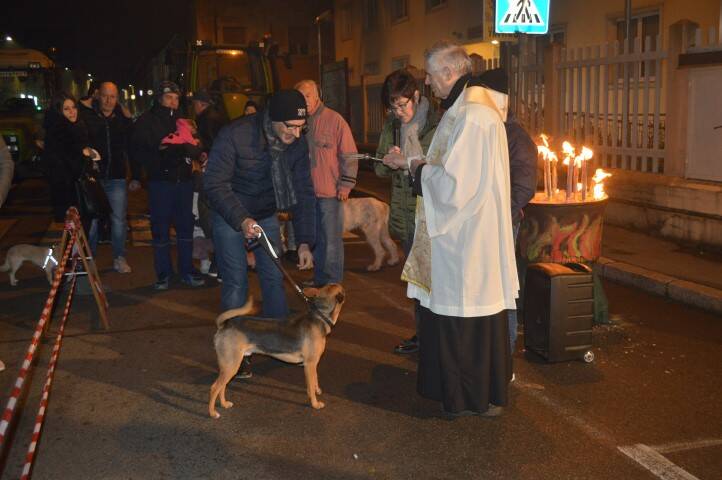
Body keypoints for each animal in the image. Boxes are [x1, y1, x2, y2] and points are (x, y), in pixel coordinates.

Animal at [208, 284, 346, 418]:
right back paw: (212, 413)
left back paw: (224, 404)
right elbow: (310, 386)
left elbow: (315, 379)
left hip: (229, 366)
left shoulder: (314, 363)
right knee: (215, 387)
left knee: (222, 386)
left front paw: (317, 391)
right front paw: (315, 404)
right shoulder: (309, 364)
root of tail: (224, 325)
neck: (320, 317)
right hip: (231, 365)